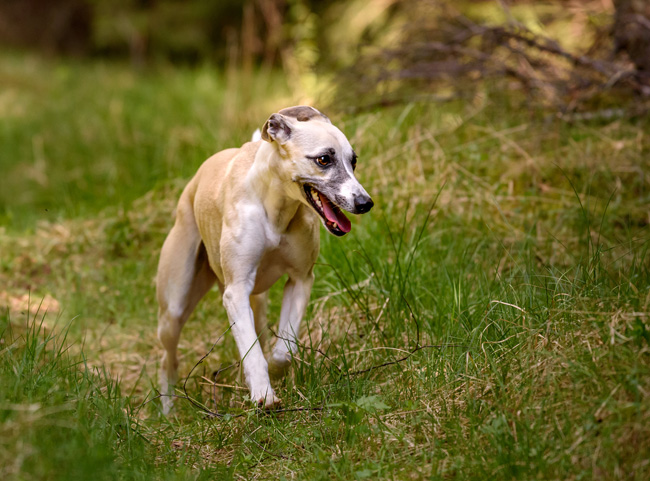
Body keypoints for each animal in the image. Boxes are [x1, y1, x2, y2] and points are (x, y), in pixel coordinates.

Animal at [154, 106, 372, 412]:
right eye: (324, 159)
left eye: (353, 160)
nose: (365, 203)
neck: (274, 204)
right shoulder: (235, 292)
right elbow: (252, 353)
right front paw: (264, 395)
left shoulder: (300, 280)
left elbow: (283, 351)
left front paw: (274, 371)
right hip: (175, 305)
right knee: (168, 359)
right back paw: (167, 410)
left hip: (255, 302)